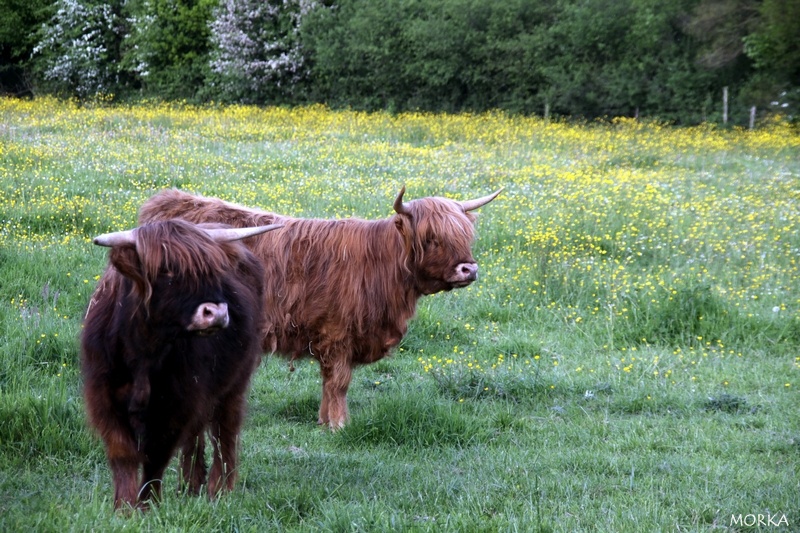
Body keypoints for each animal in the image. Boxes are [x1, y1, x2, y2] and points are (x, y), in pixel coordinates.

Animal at [81, 218, 282, 510]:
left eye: (213, 270)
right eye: (167, 271)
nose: (217, 313)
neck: (146, 349)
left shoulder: (178, 400)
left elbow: (157, 456)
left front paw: (149, 505)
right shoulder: (103, 397)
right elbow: (123, 452)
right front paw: (125, 507)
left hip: (235, 381)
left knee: (224, 430)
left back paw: (219, 489)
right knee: (197, 433)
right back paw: (190, 484)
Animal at [138, 187, 500, 428]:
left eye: (465, 235)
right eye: (431, 238)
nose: (469, 269)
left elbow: (330, 383)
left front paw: (325, 420)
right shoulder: (337, 334)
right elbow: (338, 382)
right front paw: (338, 424)